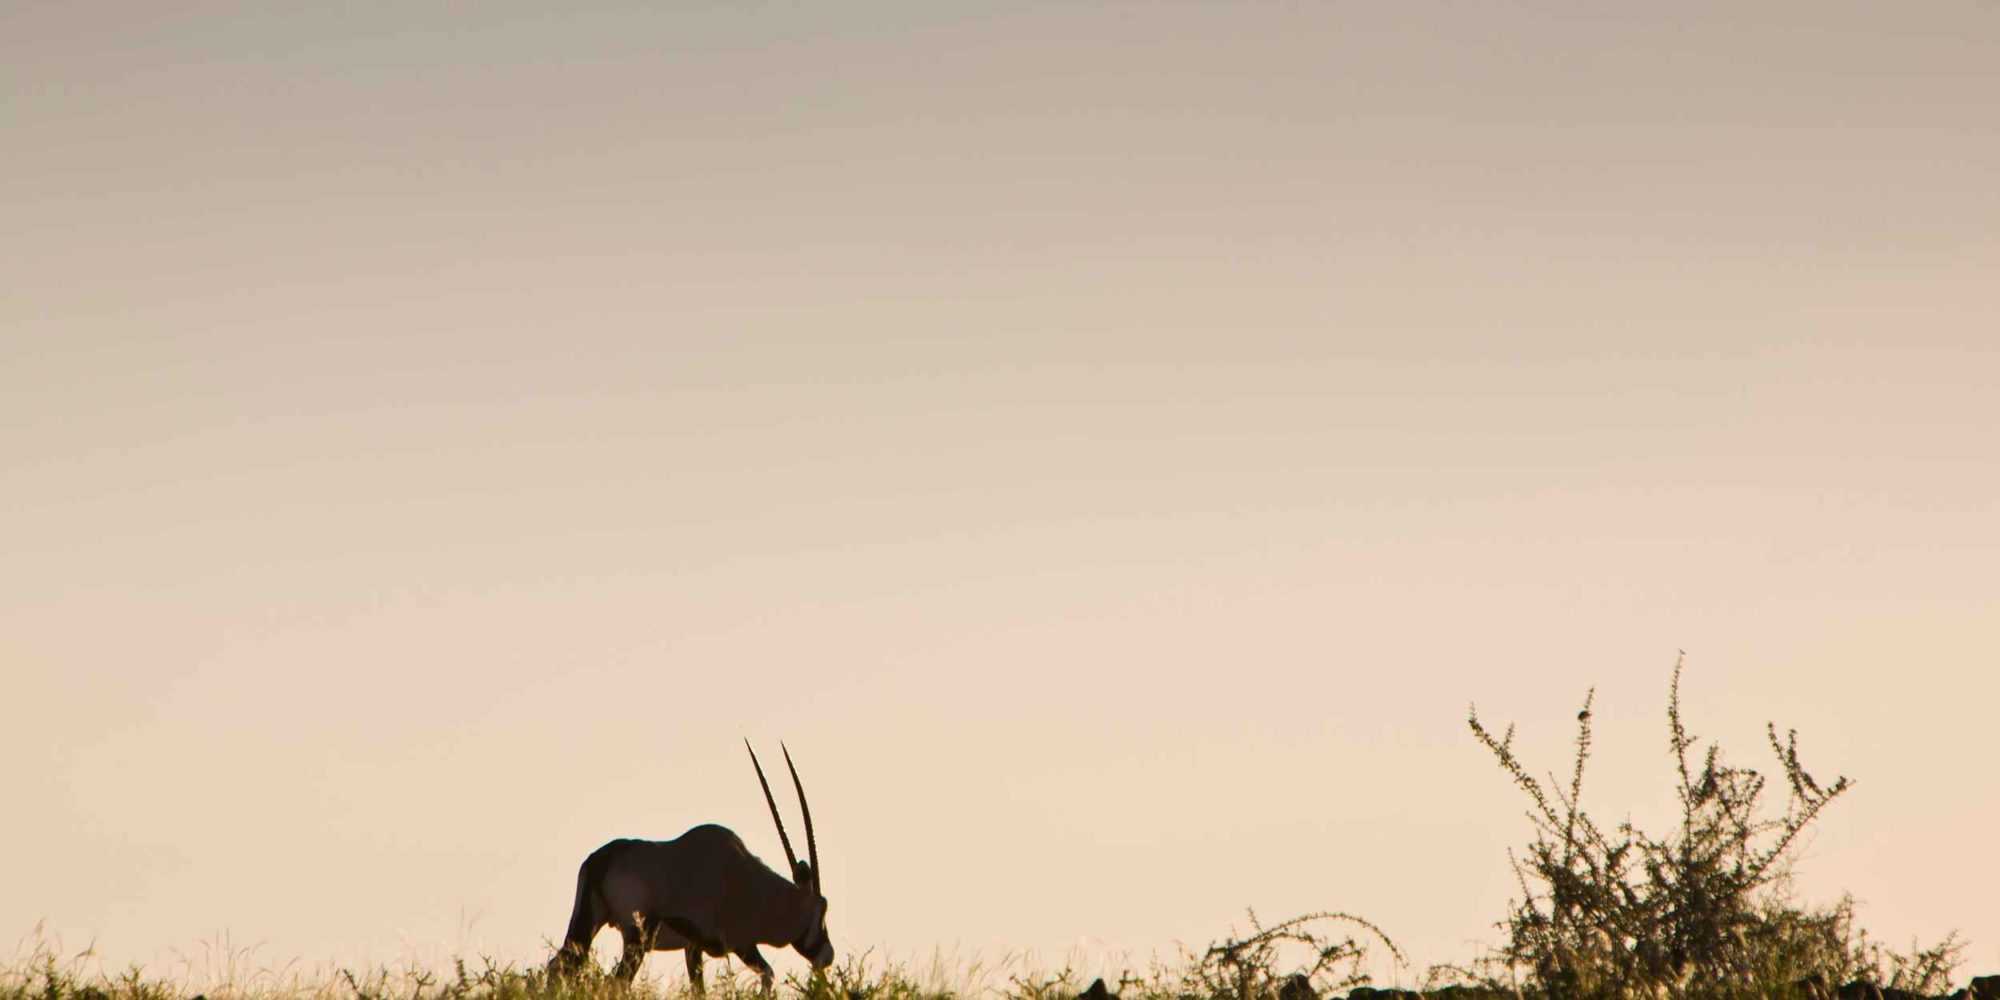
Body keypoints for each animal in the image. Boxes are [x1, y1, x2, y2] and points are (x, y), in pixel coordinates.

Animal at [552, 744, 832, 992]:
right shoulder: (740, 944)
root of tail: (601, 860)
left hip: (588, 923)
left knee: (558, 966)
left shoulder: (692, 949)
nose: (827, 956)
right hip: (635, 940)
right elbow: (768, 974)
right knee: (616, 982)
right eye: (823, 910)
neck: (751, 883)